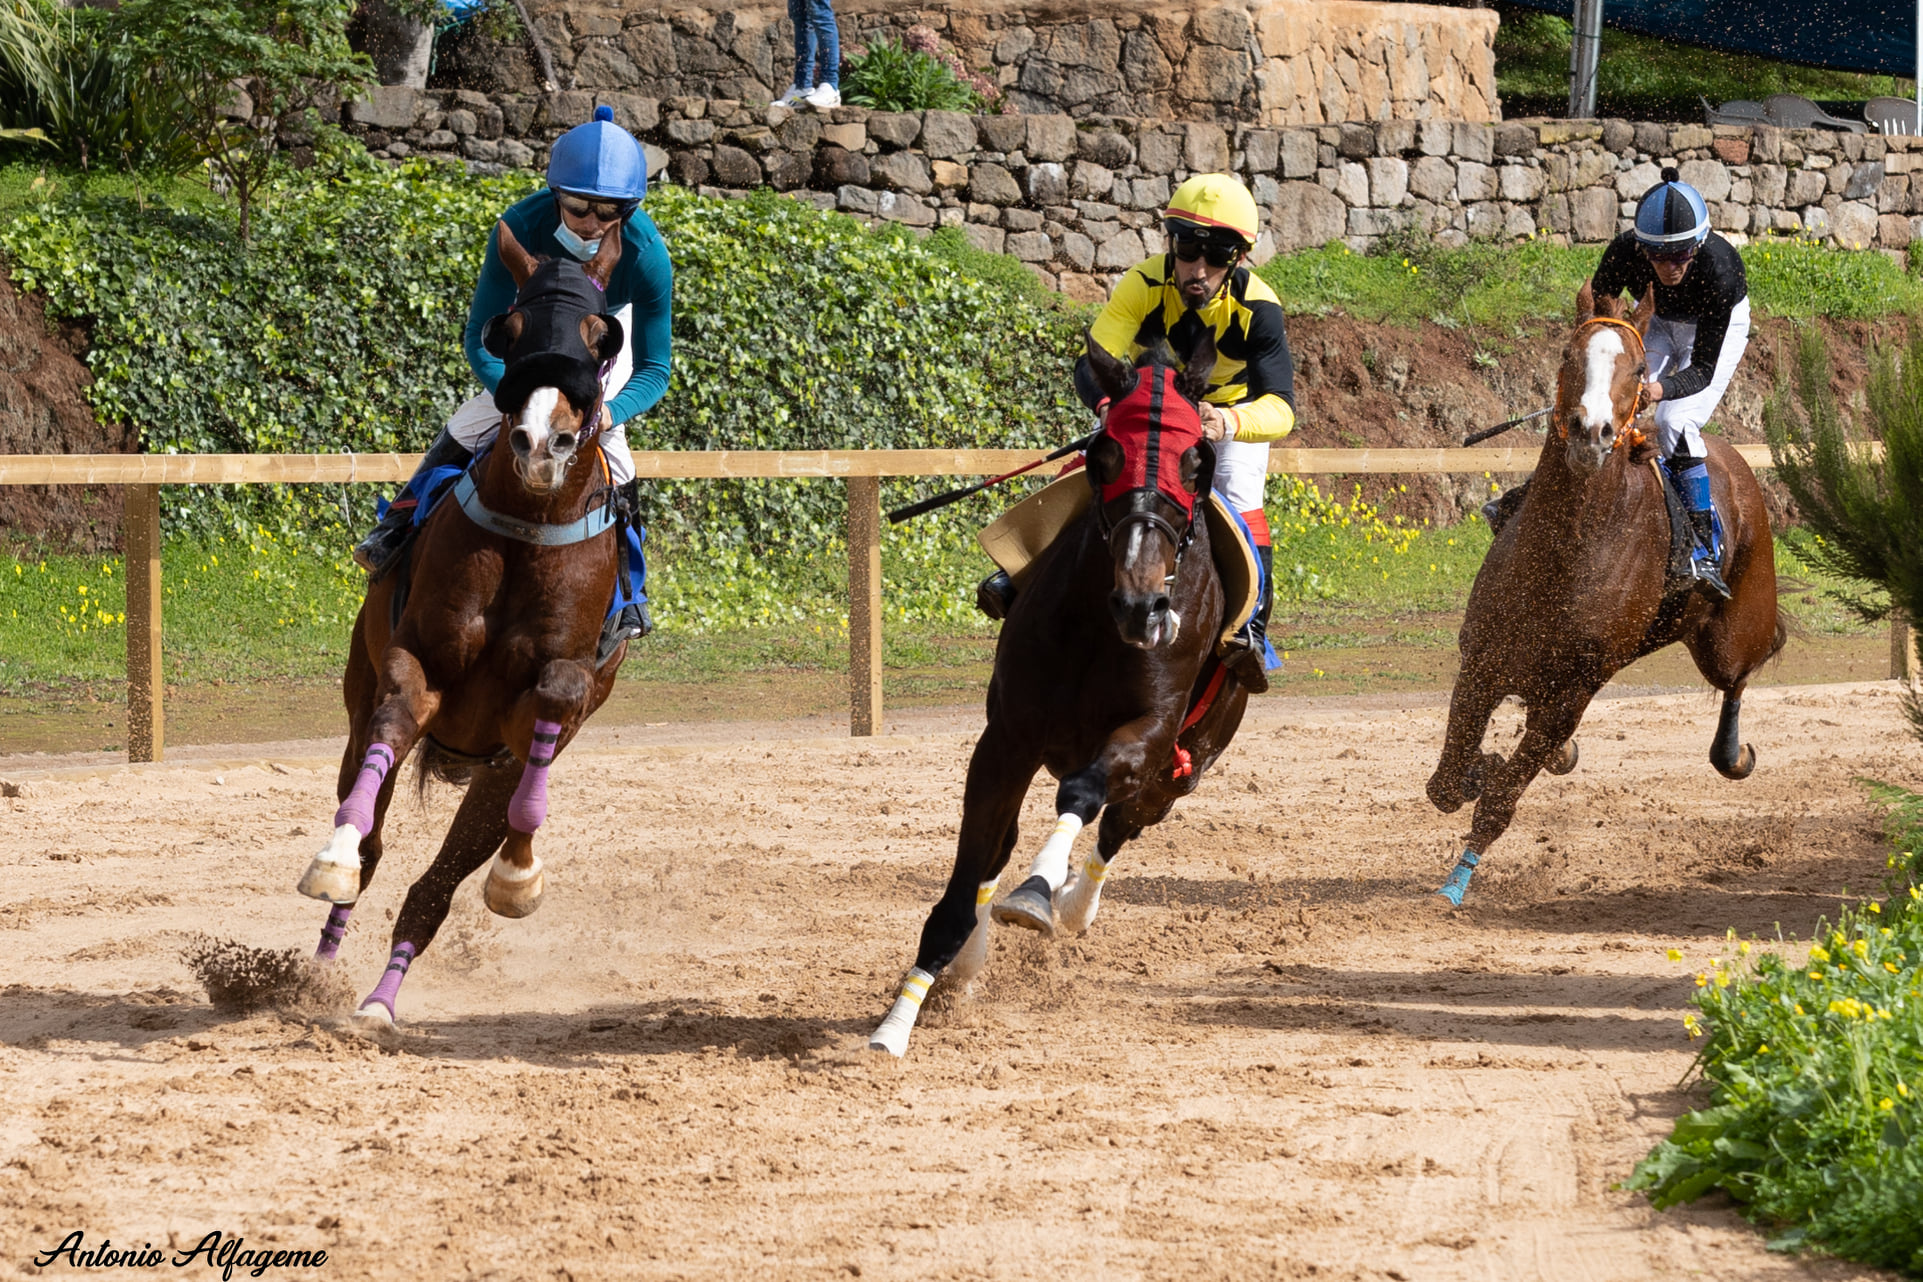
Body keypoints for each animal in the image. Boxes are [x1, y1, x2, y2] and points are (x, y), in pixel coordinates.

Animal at [296, 218, 630, 1022]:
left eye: (599, 335)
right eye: (510, 330)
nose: (542, 443)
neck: (528, 525)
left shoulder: (551, 693)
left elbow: (553, 703)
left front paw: (517, 878)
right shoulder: (415, 663)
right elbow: (391, 728)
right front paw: (331, 860)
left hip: (488, 776)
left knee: (439, 883)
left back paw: (382, 999)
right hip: (360, 701)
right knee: (375, 838)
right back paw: (329, 972)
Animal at [869, 334, 1253, 1060]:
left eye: (1195, 461)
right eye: (1105, 457)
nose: (1142, 606)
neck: (1099, 628)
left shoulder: (1150, 732)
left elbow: (1082, 795)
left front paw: (1040, 891)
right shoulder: (1006, 740)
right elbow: (973, 870)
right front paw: (900, 1019)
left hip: (1184, 766)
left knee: (1120, 825)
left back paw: (1074, 903)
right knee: (1012, 843)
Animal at [1430, 282, 1784, 903]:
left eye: (1639, 369)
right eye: (1568, 354)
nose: (1591, 431)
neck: (1565, 552)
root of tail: (1738, 464)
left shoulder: (1573, 692)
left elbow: (1498, 799)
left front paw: (1456, 884)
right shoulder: (1483, 663)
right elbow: (1448, 783)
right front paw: (1479, 765)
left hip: (1731, 633)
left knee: (1743, 671)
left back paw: (1733, 753)